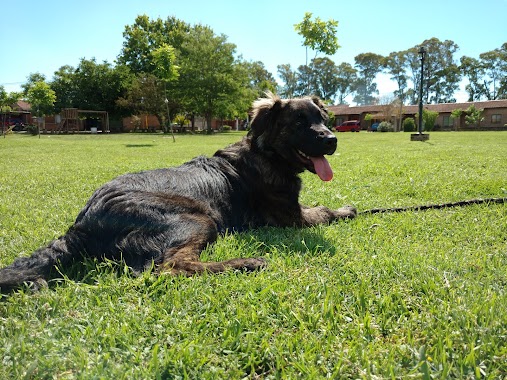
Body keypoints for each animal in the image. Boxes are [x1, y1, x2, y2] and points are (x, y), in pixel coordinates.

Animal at [0, 93, 358, 290]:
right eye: (299, 122)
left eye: (322, 118)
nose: (332, 139)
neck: (267, 153)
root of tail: (82, 223)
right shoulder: (291, 217)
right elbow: (324, 211)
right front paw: (347, 209)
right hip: (197, 219)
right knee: (172, 267)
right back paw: (245, 263)